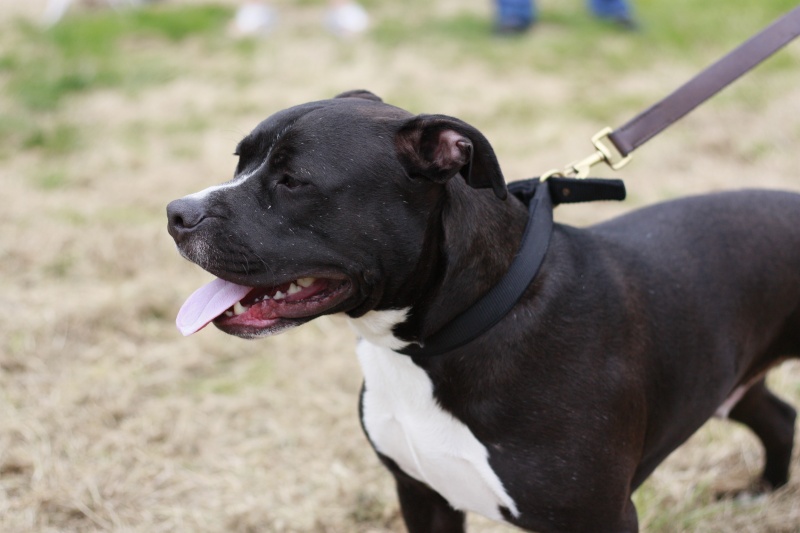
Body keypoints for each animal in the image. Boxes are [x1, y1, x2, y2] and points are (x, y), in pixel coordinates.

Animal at [166, 89, 796, 528]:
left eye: (294, 181)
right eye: (239, 161)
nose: (176, 212)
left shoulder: (601, 517)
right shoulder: (423, 496)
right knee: (777, 416)